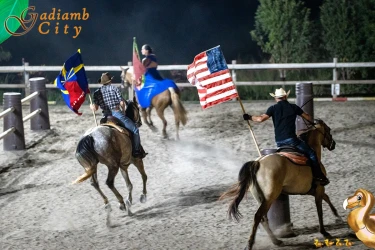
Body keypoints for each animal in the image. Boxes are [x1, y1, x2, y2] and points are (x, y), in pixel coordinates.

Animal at [222, 119, 342, 250]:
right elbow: (320, 210)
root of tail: (258, 162)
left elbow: (327, 198)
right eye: (329, 130)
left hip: (260, 198)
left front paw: (337, 215)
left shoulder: (313, 191)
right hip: (269, 198)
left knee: (263, 219)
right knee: (258, 216)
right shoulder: (319, 188)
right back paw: (250, 243)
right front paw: (324, 232)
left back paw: (276, 241)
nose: (333, 144)